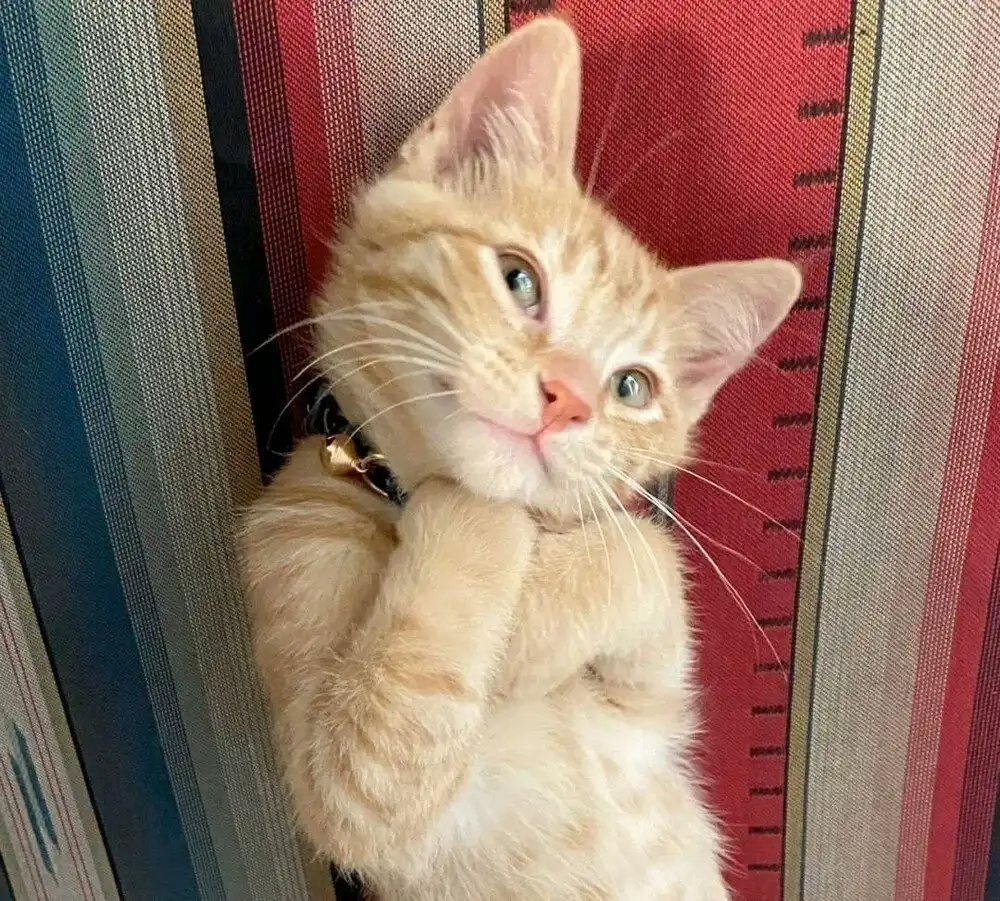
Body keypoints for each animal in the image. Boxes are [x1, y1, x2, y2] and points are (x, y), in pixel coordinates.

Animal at [240, 16, 800, 901]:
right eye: (518, 278)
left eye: (632, 386)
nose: (566, 398)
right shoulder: (350, 790)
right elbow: (377, 751)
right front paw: (490, 537)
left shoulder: (650, 707)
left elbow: (646, 553)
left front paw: (527, 628)